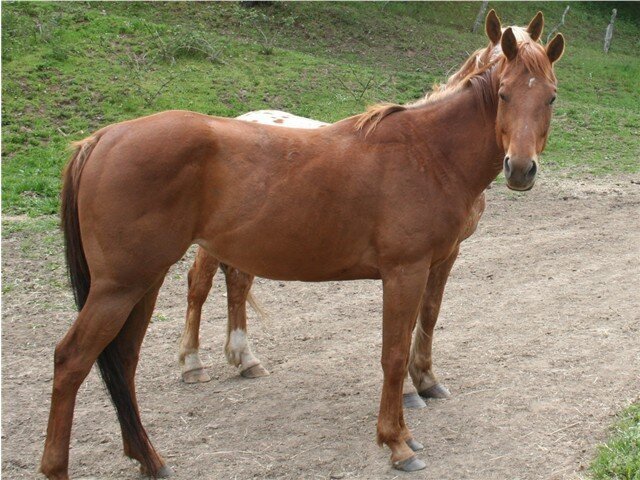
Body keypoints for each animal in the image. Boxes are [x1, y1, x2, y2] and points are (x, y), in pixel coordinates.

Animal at [41, 10, 564, 478]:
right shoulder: (405, 271)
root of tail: (102, 138)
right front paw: (397, 442)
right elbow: (392, 354)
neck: (427, 152)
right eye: (503, 93)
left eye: (551, 98)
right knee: (73, 359)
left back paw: (152, 458)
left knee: (124, 360)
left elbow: (422, 326)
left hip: (143, 284)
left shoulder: (436, 263)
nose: (520, 168)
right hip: (121, 287)